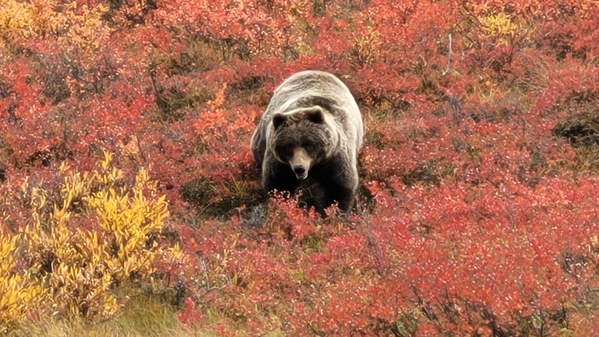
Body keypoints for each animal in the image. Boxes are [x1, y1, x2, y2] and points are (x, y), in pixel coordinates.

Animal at [251, 70, 364, 215]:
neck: (315, 166)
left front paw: (334, 212)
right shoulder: (279, 164)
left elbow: (341, 188)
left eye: (309, 143)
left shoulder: (335, 158)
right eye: (288, 146)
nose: (299, 168)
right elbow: (277, 186)